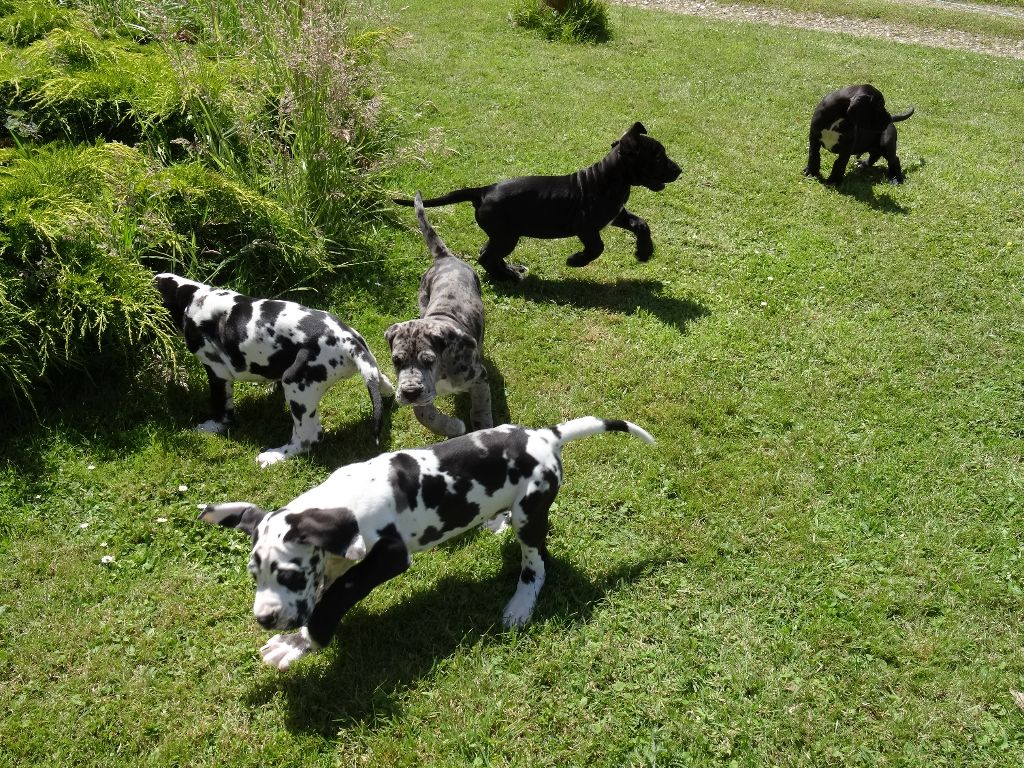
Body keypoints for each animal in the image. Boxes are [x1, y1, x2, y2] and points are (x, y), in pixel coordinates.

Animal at [155, 274, 395, 468]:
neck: (191, 298)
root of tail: (349, 342)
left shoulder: (217, 373)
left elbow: (221, 405)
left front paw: (214, 426)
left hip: (296, 384)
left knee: (308, 437)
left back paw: (275, 456)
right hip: (371, 369)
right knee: (385, 385)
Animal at [197, 417, 655, 671]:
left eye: (290, 576)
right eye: (255, 576)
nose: (264, 619)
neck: (343, 500)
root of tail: (544, 436)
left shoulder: (388, 557)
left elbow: (338, 593)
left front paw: (299, 643)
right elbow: (329, 585)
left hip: (531, 513)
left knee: (537, 563)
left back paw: (521, 604)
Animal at [391, 123, 679, 282]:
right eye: (658, 157)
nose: (679, 170)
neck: (610, 178)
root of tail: (483, 191)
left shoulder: (616, 215)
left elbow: (641, 223)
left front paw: (644, 252)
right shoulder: (586, 227)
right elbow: (597, 247)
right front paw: (576, 260)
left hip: (503, 235)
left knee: (488, 254)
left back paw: (510, 271)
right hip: (507, 235)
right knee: (486, 256)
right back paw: (508, 277)